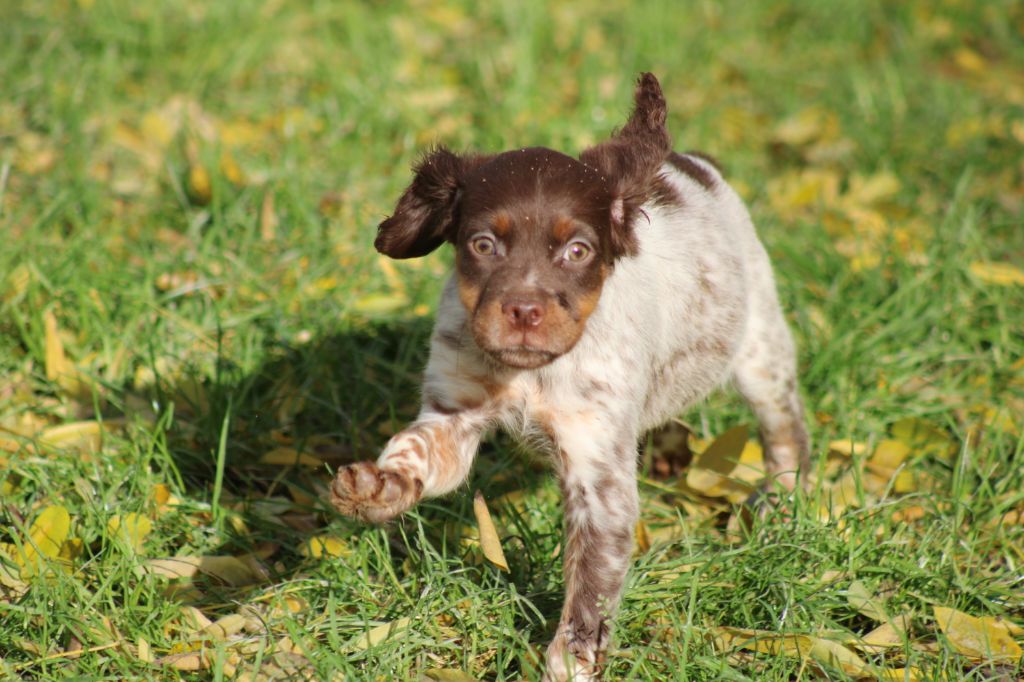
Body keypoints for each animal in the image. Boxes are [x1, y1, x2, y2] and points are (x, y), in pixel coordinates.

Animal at [331, 71, 811, 675]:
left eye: (577, 251)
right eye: (483, 244)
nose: (523, 310)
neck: (533, 375)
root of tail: (696, 163)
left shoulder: (597, 473)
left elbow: (591, 586)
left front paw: (569, 664)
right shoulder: (453, 413)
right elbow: (414, 450)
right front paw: (376, 489)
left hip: (759, 346)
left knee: (785, 429)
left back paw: (782, 502)